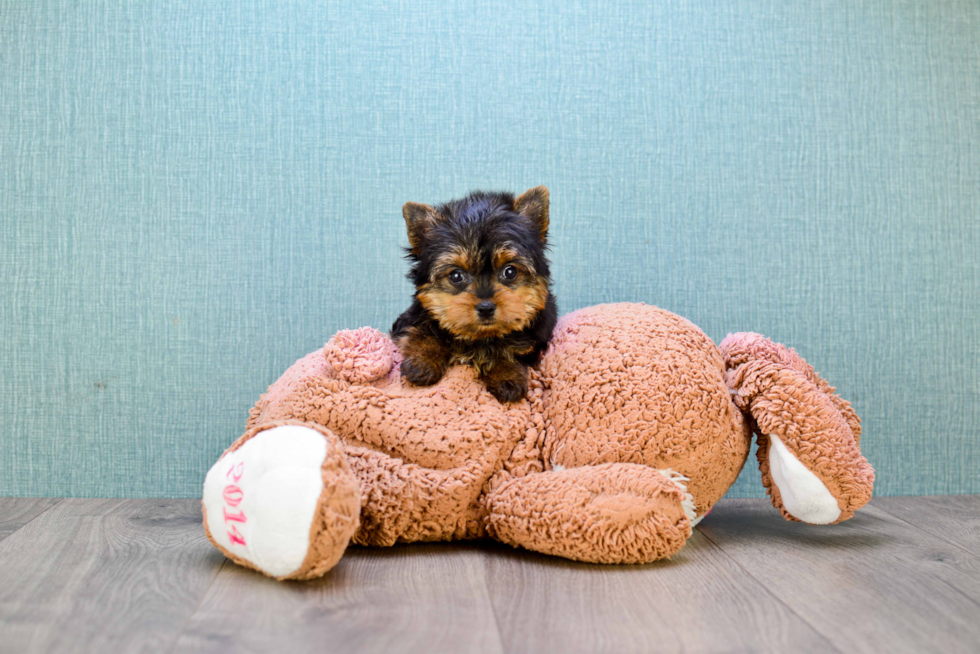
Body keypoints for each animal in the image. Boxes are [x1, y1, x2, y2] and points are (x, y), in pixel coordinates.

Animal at [390, 186, 560, 404]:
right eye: (456, 275)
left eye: (510, 271)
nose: (486, 308)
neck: (479, 336)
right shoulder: (412, 317)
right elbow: (423, 330)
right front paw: (422, 362)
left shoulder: (538, 336)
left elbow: (510, 349)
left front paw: (507, 376)